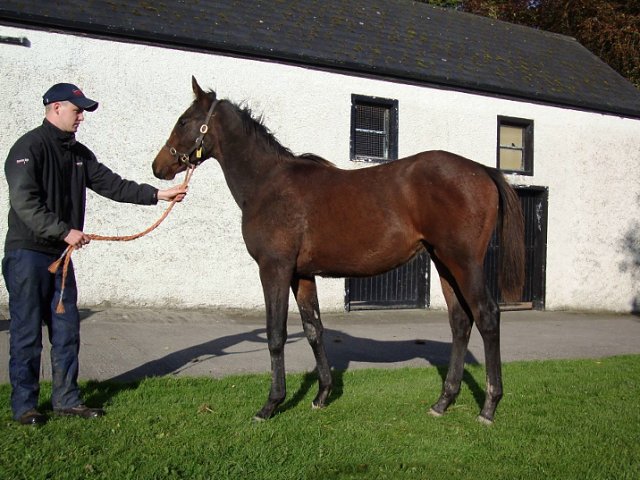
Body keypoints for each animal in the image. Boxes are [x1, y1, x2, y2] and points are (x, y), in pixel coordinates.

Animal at [152, 76, 524, 424]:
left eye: (184, 121)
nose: (158, 167)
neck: (267, 183)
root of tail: (483, 170)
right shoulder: (301, 275)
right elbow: (314, 331)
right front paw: (322, 395)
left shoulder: (274, 269)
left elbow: (276, 335)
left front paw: (271, 404)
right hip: (443, 262)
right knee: (460, 321)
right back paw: (442, 402)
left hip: (463, 262)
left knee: (487, 316)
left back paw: (488, 407)